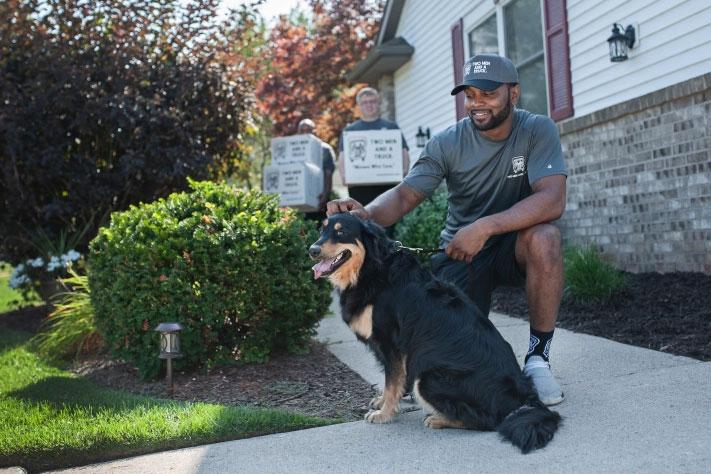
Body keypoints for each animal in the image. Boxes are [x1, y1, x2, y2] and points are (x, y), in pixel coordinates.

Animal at [310, 214, 560, 452]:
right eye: (322, 229)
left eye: (341, 232)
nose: (312, 250)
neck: (371, 268)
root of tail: (524, 396)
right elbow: (393, 381)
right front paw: (382, 403)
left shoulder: (392, 344)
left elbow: (392, 382)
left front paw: (384, 414)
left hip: (427, 379)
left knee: (489, 421)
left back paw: (439, 419)